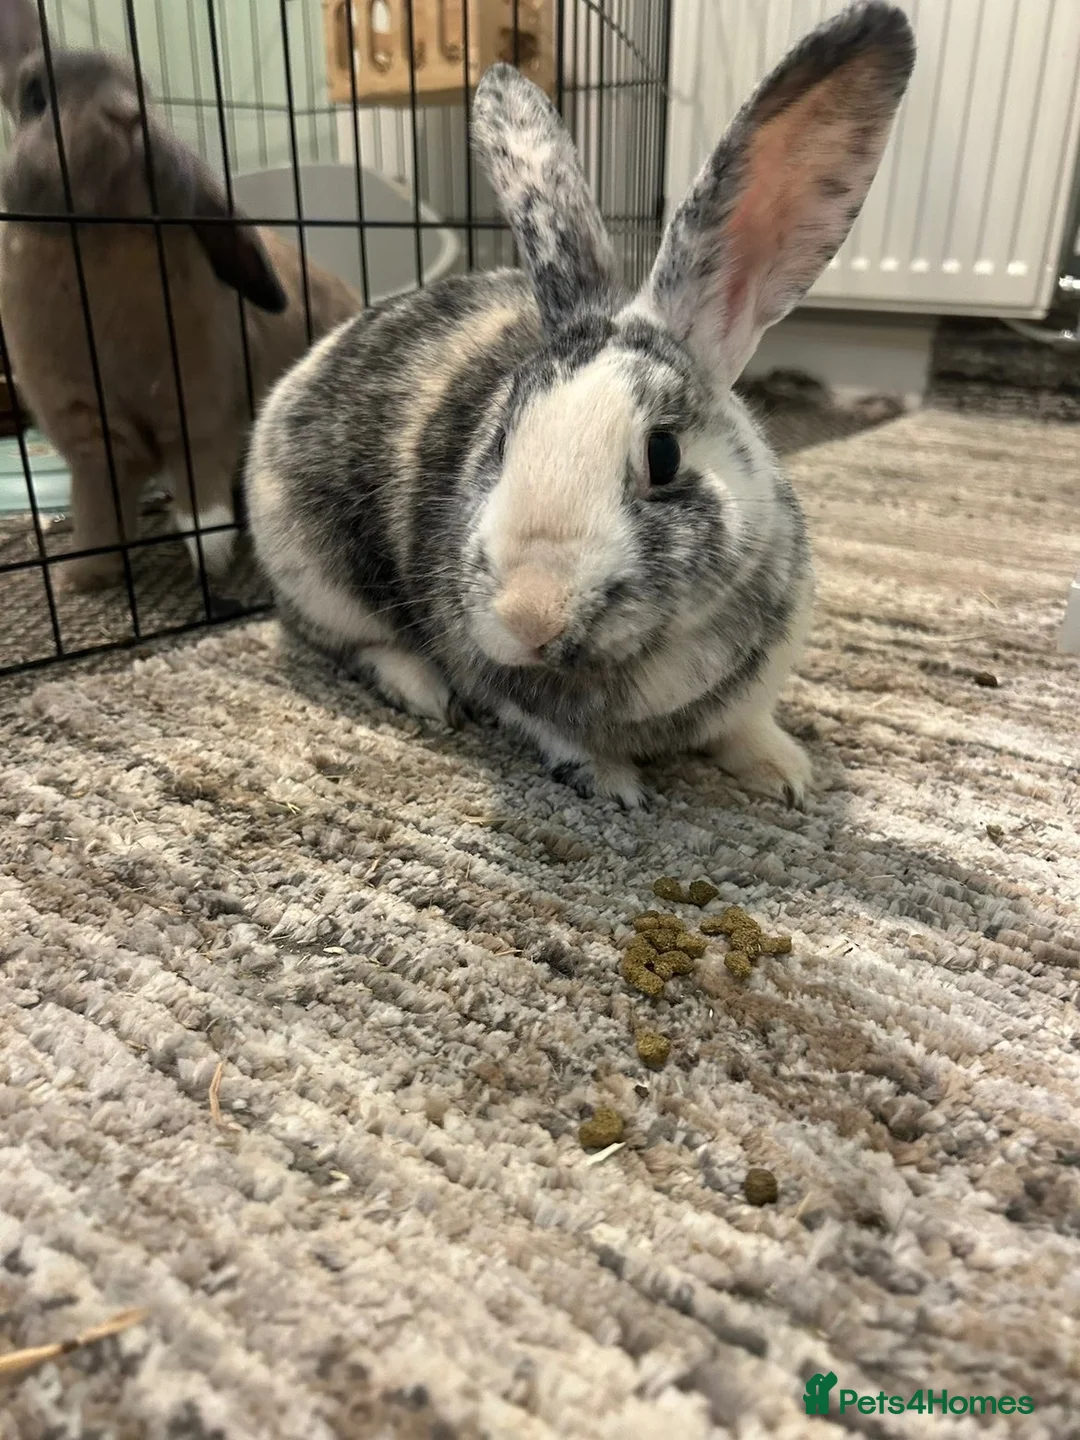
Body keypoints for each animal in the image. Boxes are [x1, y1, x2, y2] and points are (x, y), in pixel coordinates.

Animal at [0, 0, 361, 594]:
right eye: (34, 98)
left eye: (143, 88)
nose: (127, 116)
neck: (105, 235)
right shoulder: (92, 438)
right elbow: (96, 510)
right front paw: (83, 577)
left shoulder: (201, 405)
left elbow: (201, 493)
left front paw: (209, 556)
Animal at [245, 2, 915, 809]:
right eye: (500, 440)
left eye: (664, 455)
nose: (529, 611)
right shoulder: (500, 684)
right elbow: (554, 734)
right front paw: (616, 785)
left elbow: (745, 724)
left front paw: (787, 777)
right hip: (313, 576)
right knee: (348, 642)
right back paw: (424, 691)